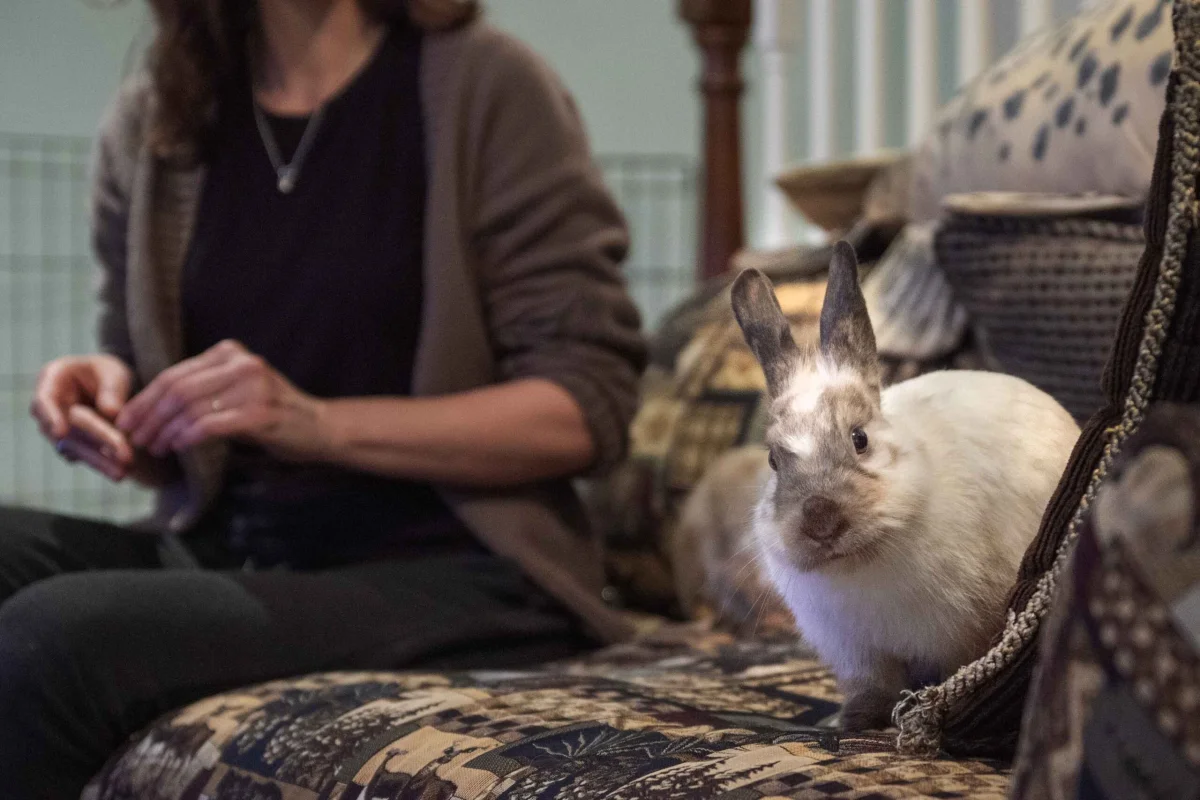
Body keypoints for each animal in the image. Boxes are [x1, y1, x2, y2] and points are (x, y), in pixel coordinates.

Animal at [729, 241, 1080, 731]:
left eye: (860, 439)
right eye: (773, 460)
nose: (821, 521)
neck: (862, 562)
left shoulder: (962, 633)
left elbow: (956, 672)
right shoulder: (859, 653)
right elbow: (873, 689)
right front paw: (852, 721)